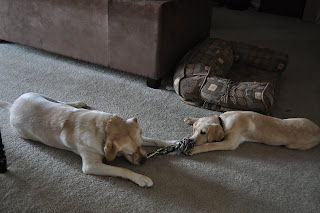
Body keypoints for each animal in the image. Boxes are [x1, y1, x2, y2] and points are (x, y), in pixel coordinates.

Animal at [0, 92, 174, 187]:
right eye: (129, 152)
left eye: (140, 147)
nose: (144, 160)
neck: (104, 129)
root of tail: (13, 105)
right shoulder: (91, 165)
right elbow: (122, 169)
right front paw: (141, 178)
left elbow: (155, 140)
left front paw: (171, 143)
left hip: (43, 96)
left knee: (63, 102)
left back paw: (78, 103)